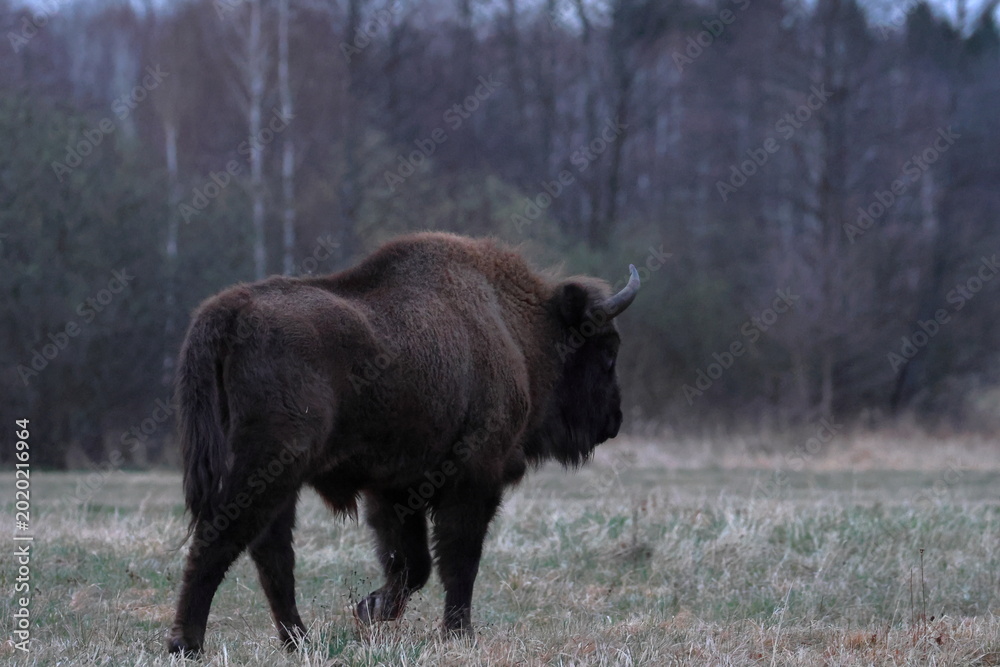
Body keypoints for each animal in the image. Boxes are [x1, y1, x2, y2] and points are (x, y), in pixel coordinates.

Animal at [167, 232, 640, 655]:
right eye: (607, 349)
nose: (613, 421)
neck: (512, 326)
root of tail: (228, 311)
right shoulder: (473, 480)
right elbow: (459, 560)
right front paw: (458, 634)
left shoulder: (395, 489)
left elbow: (413, 563)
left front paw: (370, 609)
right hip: (269, 468)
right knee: (220, 541)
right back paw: (187, 645)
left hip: (279, 481)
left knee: (271, 553)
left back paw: (298, 641)